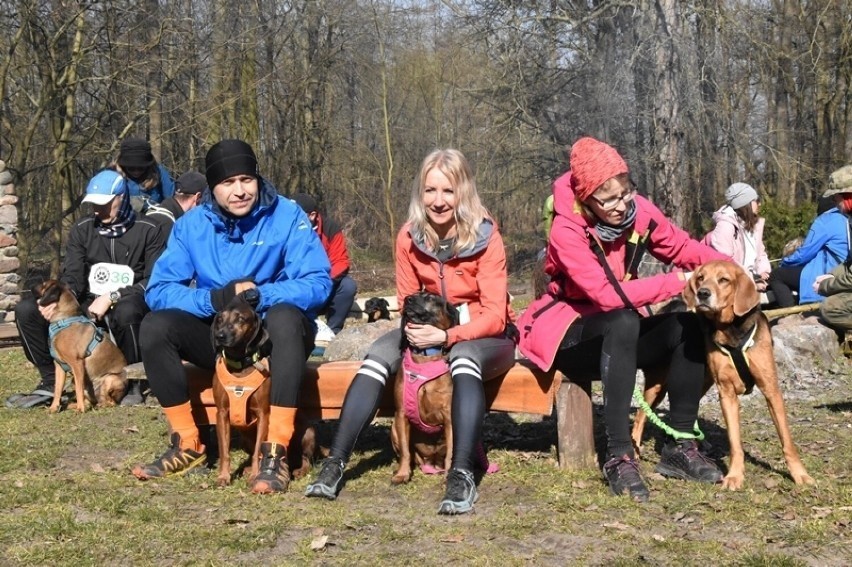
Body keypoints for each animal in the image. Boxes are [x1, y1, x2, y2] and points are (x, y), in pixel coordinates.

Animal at [32, 282, 128, 414]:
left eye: (43, 284)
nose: (31, 287)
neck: (63, 321)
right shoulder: (59, 366)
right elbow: (57, 390)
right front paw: (54, 407)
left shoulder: (77, 364)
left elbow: (79, 389)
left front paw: (80, 408)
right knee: (91, 401)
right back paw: (70, 405)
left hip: (110, 378)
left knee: (110, 402)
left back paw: (93, 405)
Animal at [211, 296, 318, 486]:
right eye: (220, 319)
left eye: (241, 319)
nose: (220, 336)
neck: (240, 366)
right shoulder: (221, 414)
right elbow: (224, 452)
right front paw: (223, 476)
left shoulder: (263, 414)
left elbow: (258, 451)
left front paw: (255, 475)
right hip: (245, 437)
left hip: (308, 433)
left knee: (306, 459)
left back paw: (298, 470)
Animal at [392, 292, 460, 484]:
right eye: (411, 295)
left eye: (430, 297)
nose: (407, 300)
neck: (425, 358)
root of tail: (433, 462)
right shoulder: (401, 414)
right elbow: (405, 452)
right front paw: (403, 473)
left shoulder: (450, 416)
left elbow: (452, 451)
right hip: (393, 427)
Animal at [636, 260, 816, 490]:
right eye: (700, 278)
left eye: (724, 280)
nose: (702, 294)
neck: (731, 330)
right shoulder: (727, 393)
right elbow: (735, 442)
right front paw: (734, 476)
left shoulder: (771, 389)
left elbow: (787, 440)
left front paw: (800, 474)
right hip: (659, 385)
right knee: (640, 415)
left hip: (698, 383)